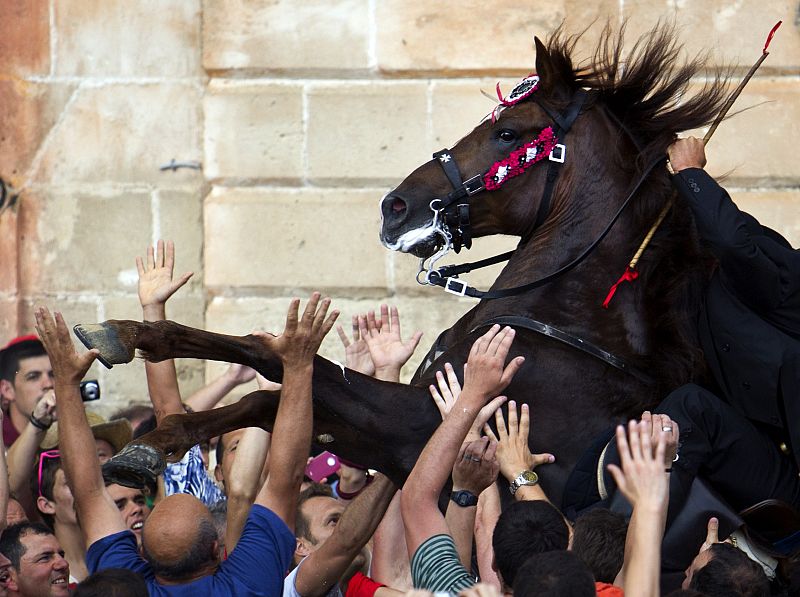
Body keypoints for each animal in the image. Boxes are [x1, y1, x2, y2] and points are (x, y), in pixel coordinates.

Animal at [78, 24, 730, 511]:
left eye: (507, 133)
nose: (395, 206)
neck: (572, 324)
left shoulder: (416, 431)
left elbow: (278, 368)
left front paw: (152, 418)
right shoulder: (388, 437)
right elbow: (275, 388)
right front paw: (140, 367)